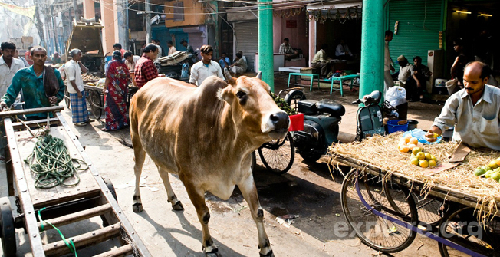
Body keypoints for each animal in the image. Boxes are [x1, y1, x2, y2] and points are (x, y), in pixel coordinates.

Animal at [129, 73, 288, 255]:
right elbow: (204, 214)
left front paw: (265, 247)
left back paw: (174, 199)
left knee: (162, 172)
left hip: (157, 148)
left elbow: (258, 212)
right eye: (241, 93)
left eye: (269, 91)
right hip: (136, 139)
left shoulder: (246, 177)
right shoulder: (190, 181)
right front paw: (209, 245)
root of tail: (142, 89)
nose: (281, 118)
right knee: (137, 170)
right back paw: (136, 201)